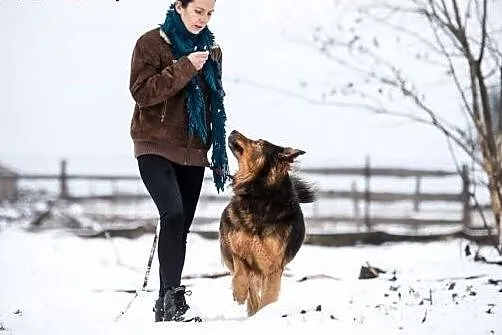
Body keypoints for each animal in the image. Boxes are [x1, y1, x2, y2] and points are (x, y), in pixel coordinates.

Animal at [219, 131, 314, 318]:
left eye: (259, 143)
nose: (233, 131)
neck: (259, 194)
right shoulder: (237, 248)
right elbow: (240, 271)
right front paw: (239, 292)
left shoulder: (274, 267)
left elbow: (269, 296)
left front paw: (265, 314)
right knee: (251, 288)